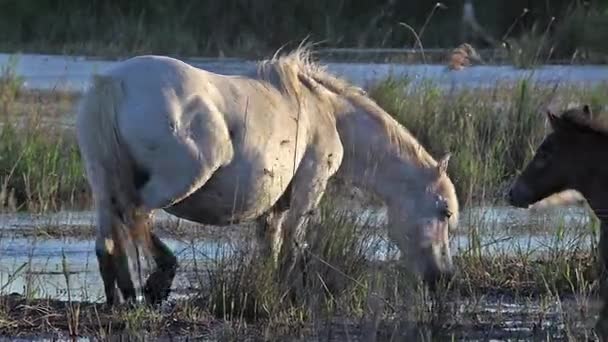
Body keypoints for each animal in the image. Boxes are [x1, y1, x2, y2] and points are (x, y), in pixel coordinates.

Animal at [76, 45, 458, 304]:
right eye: (444, 212)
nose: (443, 278)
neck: (327, 111)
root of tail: (113, 83)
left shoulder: (274, 204)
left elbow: (270, 244)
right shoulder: (310, 185)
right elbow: (293, 242)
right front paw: (292, 291)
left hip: (102, 180)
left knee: (109, 235)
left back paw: (120, 295)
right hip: (178, 179)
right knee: (135, 217)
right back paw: (157, 281)